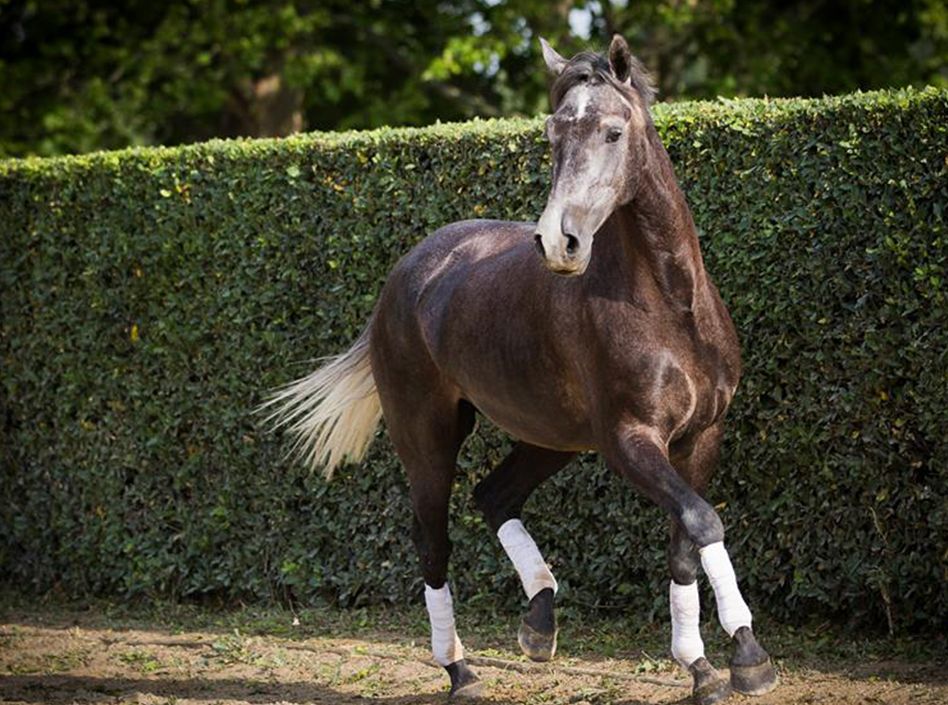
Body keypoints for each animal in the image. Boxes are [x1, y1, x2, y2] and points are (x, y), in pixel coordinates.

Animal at [264, 34, 776, 704]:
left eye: (613, 131)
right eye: (553, 132)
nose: (558, 243)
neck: (669, 307)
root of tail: (408, 272)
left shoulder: (700, 437)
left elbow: (687, 541)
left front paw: (720, 663)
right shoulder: (630, 440)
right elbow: (702, 518)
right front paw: (739, 658)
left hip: (552, 437)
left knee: (494, 494)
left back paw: (539, 623)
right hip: (429, 438)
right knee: (433, 543)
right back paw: (461, 670)